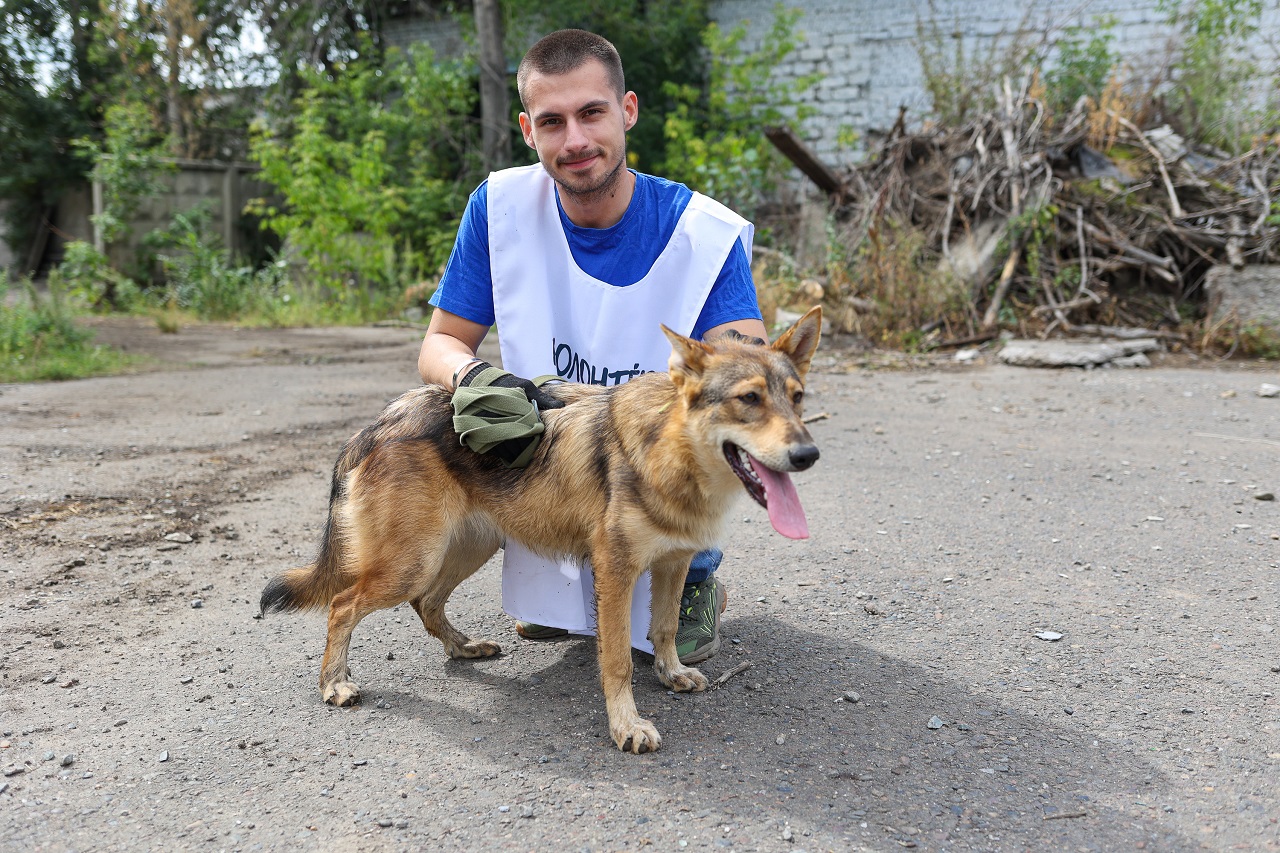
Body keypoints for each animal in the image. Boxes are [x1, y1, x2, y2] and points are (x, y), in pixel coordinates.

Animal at [258, 306, 819, 753]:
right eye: (748, 399)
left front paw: (672, 673)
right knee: (342, 604)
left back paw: (463, 648)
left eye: (797, 397)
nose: (807, 455)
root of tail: (379, 422)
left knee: (428, 603)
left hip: (467, 548)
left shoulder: (674, 562)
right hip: (412, 562)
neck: (669, 446)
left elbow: (662, 629)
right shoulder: (616, 572)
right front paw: (626, 726)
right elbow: (617, 659)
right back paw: (335, 684)